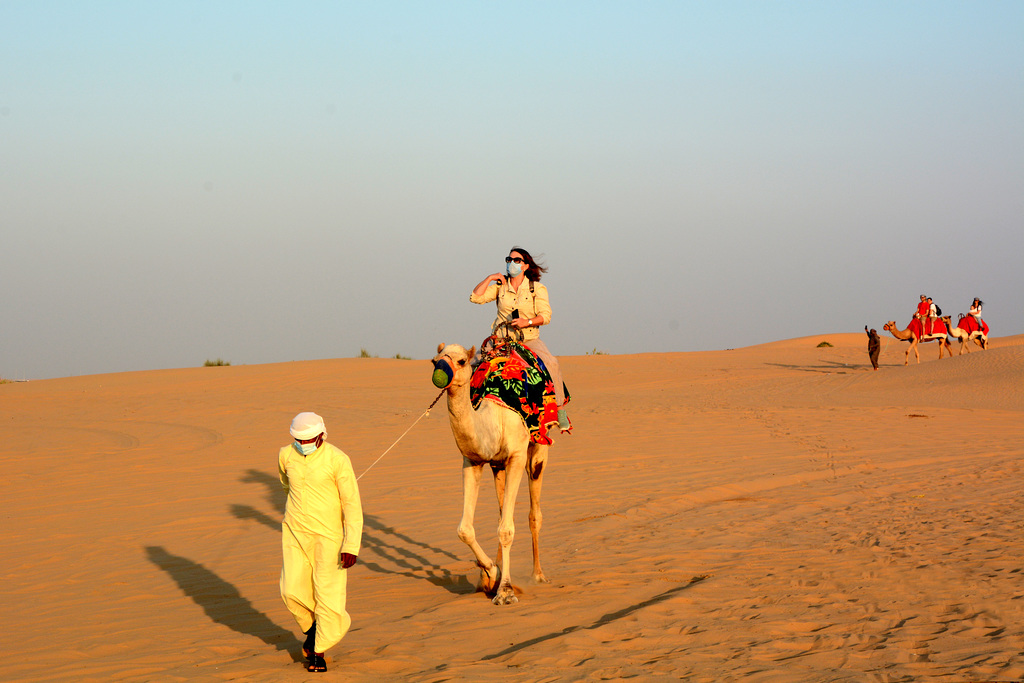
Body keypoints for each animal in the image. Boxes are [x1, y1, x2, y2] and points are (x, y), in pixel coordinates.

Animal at [428, 342, 548, 602]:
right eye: (434, 359)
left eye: (462, 361)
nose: (440, 371)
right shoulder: (473, 460)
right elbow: (465, 530)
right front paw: (492, 574)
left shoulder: (516, 456)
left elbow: (507, 529)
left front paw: (505, 591)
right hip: (497, 466)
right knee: (502, 512)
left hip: (538, 447)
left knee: (534, 513)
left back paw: (538, 575)